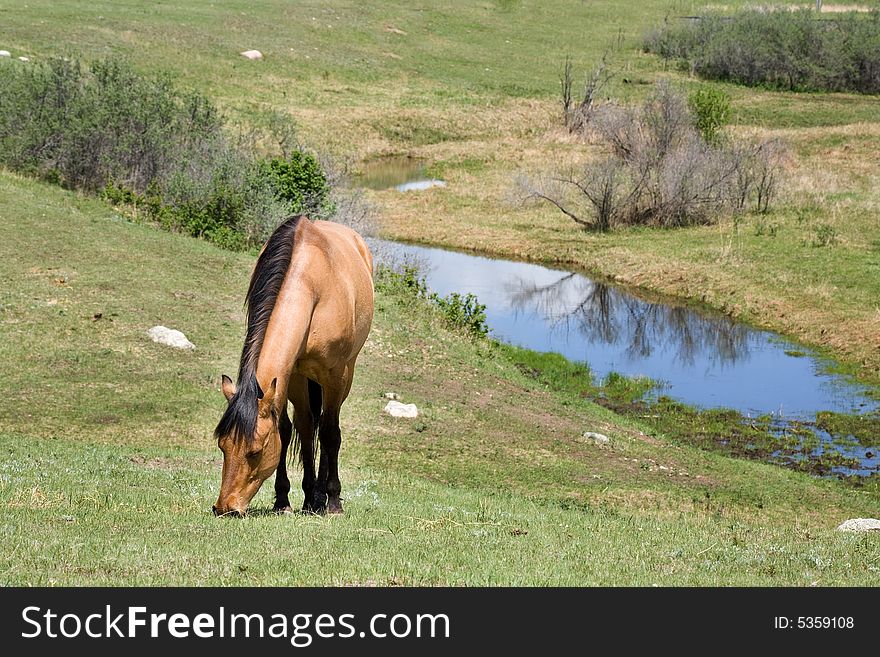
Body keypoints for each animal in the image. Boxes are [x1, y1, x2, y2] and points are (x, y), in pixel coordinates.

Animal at [216, 213, 374, 516]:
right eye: (222, 446)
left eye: (254, 451)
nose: (224, 507)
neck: (309, 287)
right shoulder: (294, 374)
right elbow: (289, 429)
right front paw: (284, 499)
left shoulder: (334, 375)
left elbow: (330, 433)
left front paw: (332, 500)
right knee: (308, 424)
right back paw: (311, 497)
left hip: (345, 374)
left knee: (326, 427)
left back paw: (323, 496)